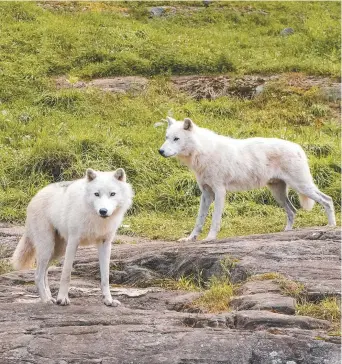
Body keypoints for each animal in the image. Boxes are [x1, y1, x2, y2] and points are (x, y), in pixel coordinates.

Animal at [12, 169, 133, 306]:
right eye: (96, 194)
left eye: (112, 194)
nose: (103, 211)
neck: (95, 218)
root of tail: (35, 196)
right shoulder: (73, 242)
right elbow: (66, 274)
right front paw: (62, 298)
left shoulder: (105, 244)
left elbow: (105, 277)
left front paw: (108, 300)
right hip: (48, 248)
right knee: (37, 275)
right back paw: (46, 300)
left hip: (57, 251)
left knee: (44, 273)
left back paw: (49, 297)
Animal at [159, 117, 336, 242]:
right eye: (166, 137)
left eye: (176, 139)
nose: (160, 151)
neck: (203, 151)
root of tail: (298, 147)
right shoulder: (206, 194)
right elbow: (199, 220)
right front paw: (190, 238)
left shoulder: (219, 192)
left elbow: (215, 219)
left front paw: (210, 238)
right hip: (278, 193)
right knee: (293, 210)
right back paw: (286, 232)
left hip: (301, 187)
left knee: (327, 200)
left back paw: (331, 226)